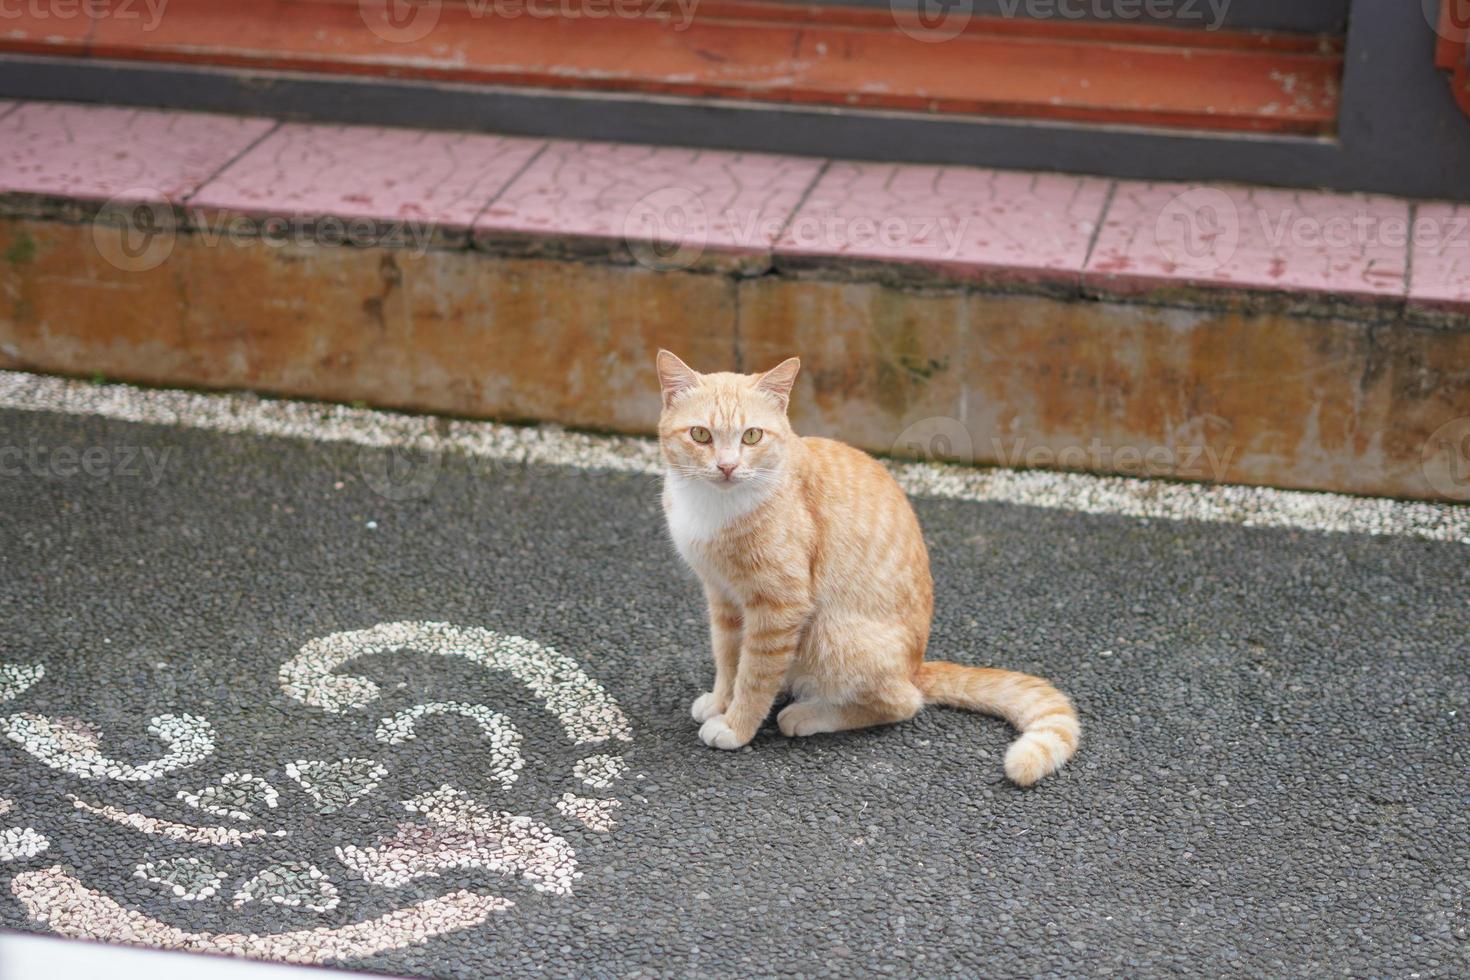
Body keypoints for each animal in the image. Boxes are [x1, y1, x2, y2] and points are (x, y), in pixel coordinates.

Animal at [655, 348, 1081, 787]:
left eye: (752, 436)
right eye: (700, 435)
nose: (726, 466)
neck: (714, 507)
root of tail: (915, 667)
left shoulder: (778, 608)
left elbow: (754, 675)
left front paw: (737, 725)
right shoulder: (722, 598)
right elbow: (728, 660)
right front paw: (721, 702)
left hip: (828, 632)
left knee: (903, 703)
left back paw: (808, 714)